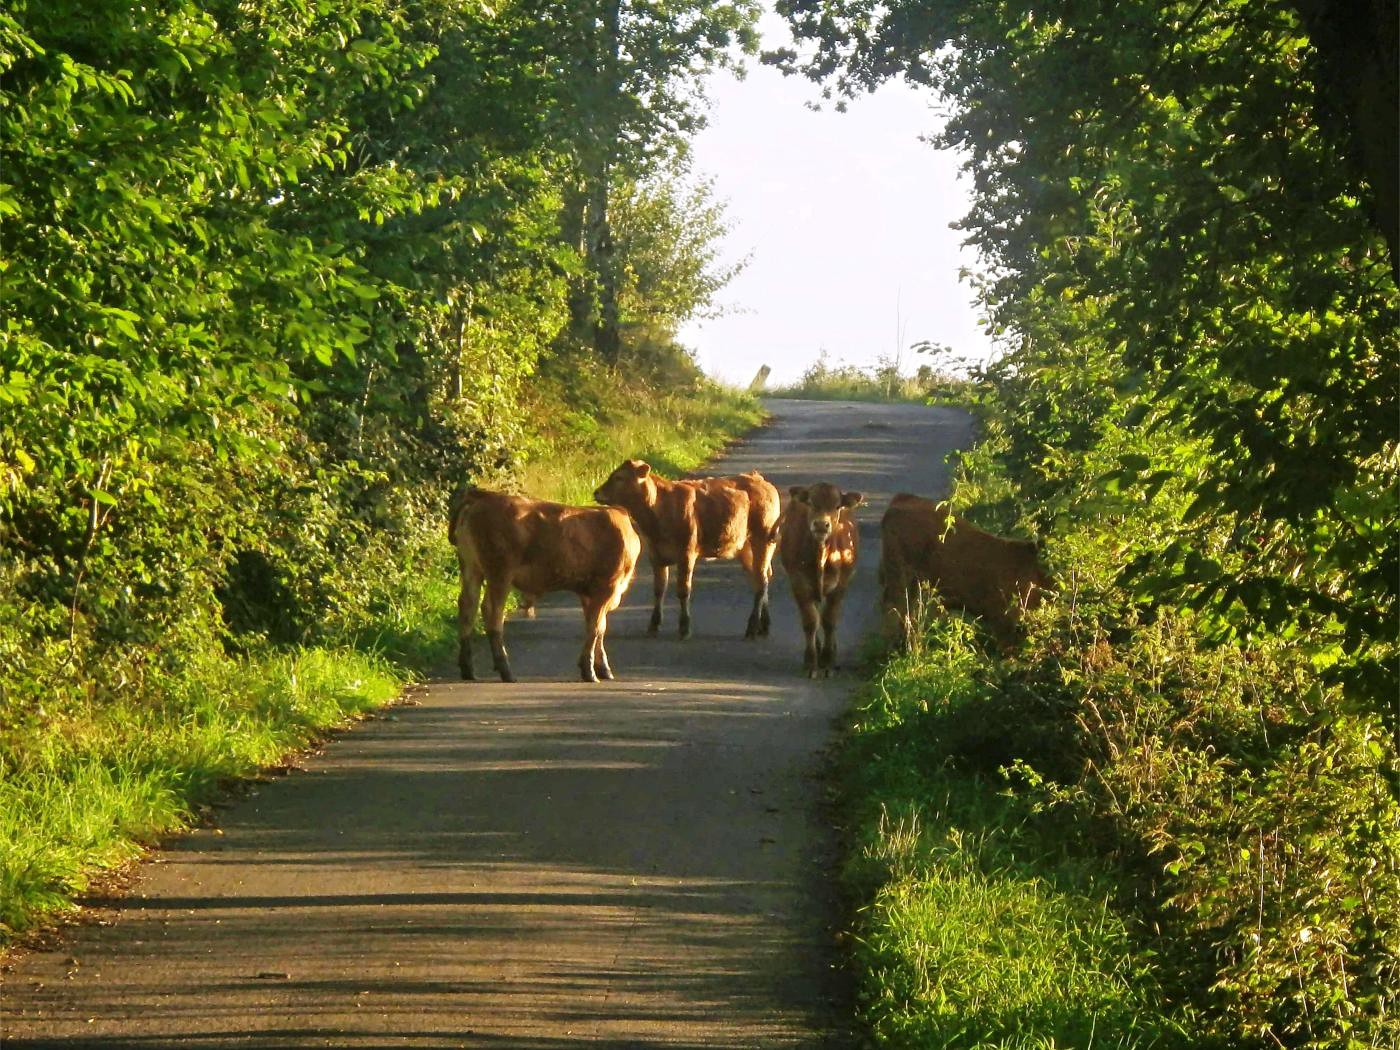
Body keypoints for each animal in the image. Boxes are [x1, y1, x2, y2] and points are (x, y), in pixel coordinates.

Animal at [448, 484, 641, 683]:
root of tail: (482, 496)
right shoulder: (608, 585)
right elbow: (596, 628)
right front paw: (590, 671)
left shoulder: (588, 592)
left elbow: (597, 627)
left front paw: (601, 667)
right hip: (500, 573)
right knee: (492, 612)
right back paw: (506, 670)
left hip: (471, 568)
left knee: (467, 607)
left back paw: (468, 669)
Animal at [593, 462, 784, 641]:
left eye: (619, 477)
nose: (596, 492)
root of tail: (758, 478)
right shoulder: (656, 555)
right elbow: (659, 589)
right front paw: (654, 625)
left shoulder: (686, 553)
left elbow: (683, 590)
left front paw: (684, 628)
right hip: (744, 547)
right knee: (760, 578)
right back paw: (763, 626)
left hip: (763, 539)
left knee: (761, 581)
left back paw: (752, 628)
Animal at [778, 484, 862, 677]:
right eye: (810, 502)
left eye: (837, 506)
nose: (821, 524)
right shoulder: (799, 582)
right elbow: (810, 621)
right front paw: (811, 662)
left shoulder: (840, 585)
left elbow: (829, 620)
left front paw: (828, 660)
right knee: (814, 614)